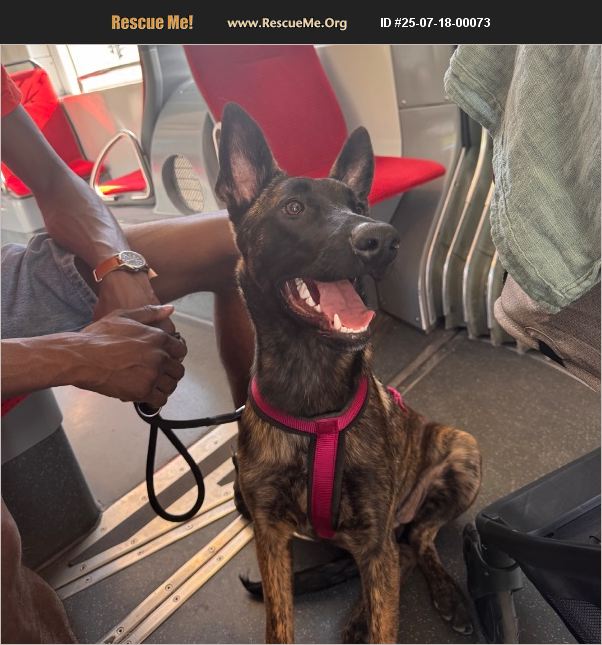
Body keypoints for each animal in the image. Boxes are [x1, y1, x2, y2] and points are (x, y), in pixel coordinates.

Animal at [216, 102, 482, 644]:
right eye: (293, 209)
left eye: (360, 204)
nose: (381, 239)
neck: (311, 396)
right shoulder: (270, 535)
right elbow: (279, 621)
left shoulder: (372, 536)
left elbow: (388, 614)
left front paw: (377, 615)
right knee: (401, 551)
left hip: (463, 452)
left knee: (417, 541)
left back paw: (444, 596)